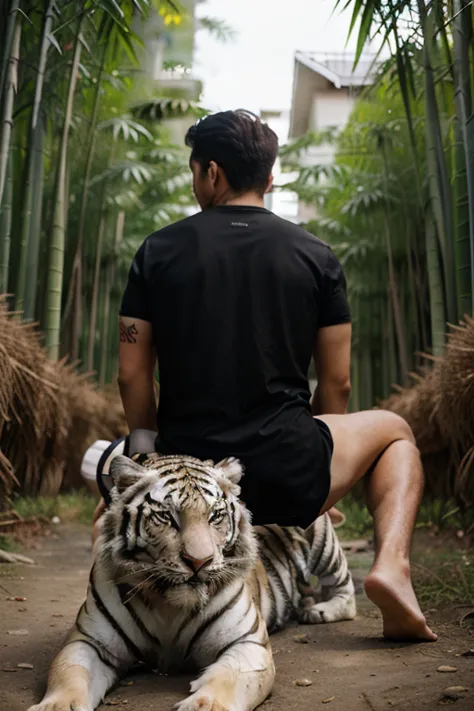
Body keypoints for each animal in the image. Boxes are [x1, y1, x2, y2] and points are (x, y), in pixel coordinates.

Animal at [28, 454, 356, 708]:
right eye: (166, 517)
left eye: (215, 516)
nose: (200, 561)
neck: (168, 606)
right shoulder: (89, 641)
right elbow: (69, 675)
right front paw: (56, 706)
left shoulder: (246, 642)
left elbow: (225, 679)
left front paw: (204, 704)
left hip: (322, 541)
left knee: (347, 592)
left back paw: (318, 611)